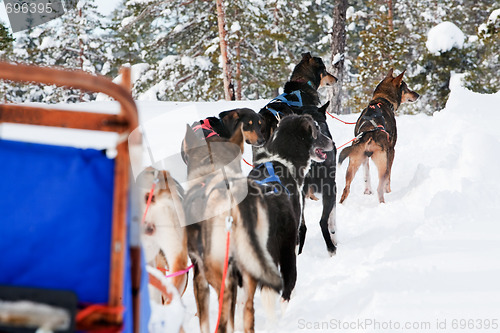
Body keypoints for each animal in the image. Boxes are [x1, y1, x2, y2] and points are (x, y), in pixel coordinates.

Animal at [182, 125, 282, 332]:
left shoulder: (199, 275)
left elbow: (204, 320)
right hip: (249, 263)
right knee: (247, 310)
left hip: (216, 269)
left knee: (224, 307)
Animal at [340, 68, 418, 202]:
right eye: (406, 88)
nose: (417, 94)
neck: (382, 100)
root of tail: (370, 134)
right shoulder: (392, 151)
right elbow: (389, 179)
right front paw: (389, 191)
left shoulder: (364, 158)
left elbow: (366, 176)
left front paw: (367, 191)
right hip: (383, 163)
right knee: (380, 188)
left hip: (353, 164)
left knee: (346, 190)